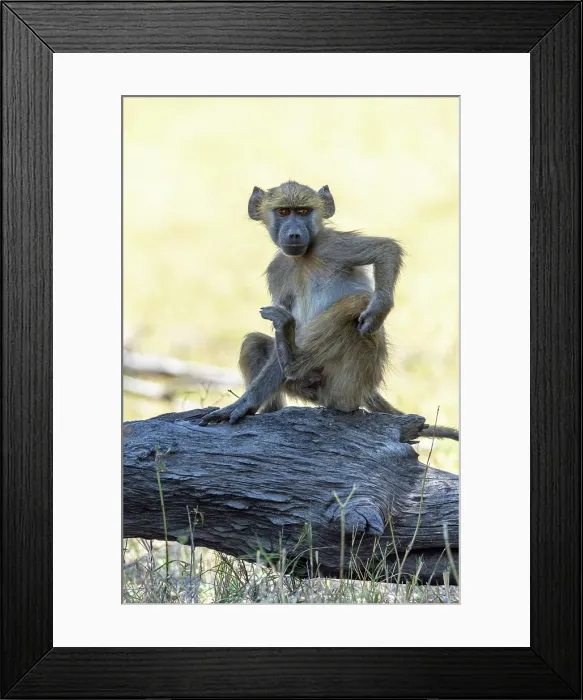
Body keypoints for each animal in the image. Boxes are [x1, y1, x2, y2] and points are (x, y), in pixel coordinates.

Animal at [200, 181, 458, 441]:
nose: (294, 234)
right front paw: (244, 404)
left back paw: (293, 359)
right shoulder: (277, 270)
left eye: (303, 211)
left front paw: (379, 307)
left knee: (356, 304)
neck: (303, 258)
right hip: (310, 389)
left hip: (349, 384)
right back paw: (271, 400)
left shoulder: (332, 244)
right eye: (283, 211)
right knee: (253, 344)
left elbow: (386, 250)